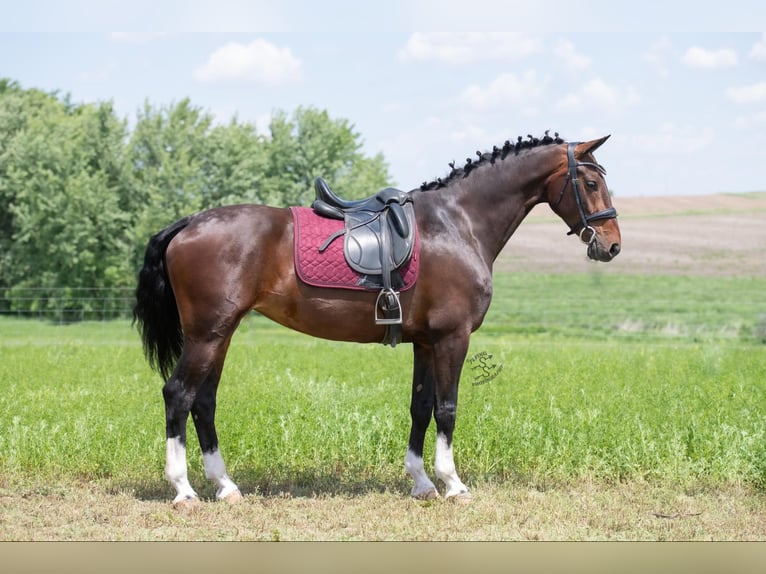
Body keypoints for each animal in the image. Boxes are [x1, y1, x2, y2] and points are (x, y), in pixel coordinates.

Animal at [133, 132, 621, 506]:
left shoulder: (425, 342)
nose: (612, 245)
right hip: (207, 334)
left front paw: (422, 483)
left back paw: (226, 487)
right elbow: (447, 408)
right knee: (178, 395)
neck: (457, 223)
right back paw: (183, 490)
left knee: (204, 401)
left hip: (220, 333)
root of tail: (189, 222)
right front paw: (454, 484)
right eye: (590, 181)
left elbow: (420, 407)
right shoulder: (452, 337)